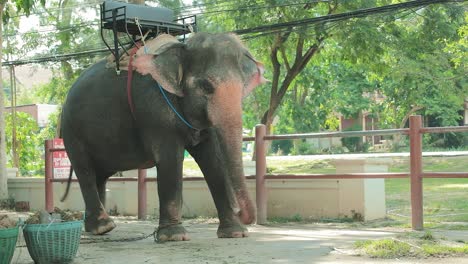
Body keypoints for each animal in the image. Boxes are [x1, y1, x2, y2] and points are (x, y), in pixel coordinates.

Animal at [61, 32, 266, 242]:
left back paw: (98, 228)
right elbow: (170, 159)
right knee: (85, 170)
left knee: (99, 176)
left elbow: (214, 160)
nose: (241, 212)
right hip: (72, 132)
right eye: (205, 86)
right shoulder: (155, 111)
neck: (180, 48)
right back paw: (103, 226)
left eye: (242, 87)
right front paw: (174, 236)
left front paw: (236, 233)